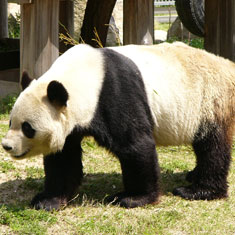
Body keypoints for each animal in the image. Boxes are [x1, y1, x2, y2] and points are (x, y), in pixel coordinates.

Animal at [0, 41, 234, 210]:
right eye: (11, 122)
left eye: (27, 128)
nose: (7, 146)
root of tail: (228, 66)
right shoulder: (70, 122)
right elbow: (63, 158)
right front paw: (49, 200)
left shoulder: (115, 95)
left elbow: (136, 146)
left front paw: (133, 198)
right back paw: (193, 176)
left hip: (210, 101)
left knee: (212, 148)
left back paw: (198, 191)